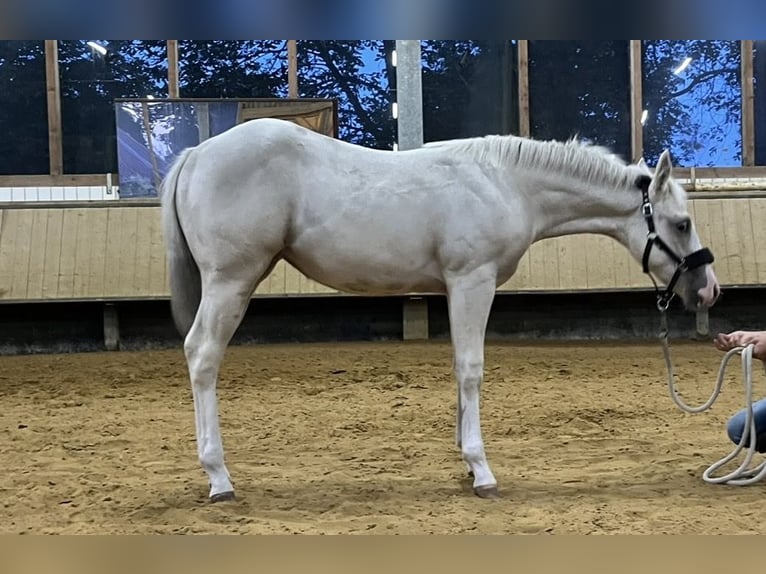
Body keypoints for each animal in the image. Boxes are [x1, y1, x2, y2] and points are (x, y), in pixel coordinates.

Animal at [160, 118, 720, 502]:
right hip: (231, 281)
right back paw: (219, 477)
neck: (506, 182)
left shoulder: (457, 287)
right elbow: (471, 368)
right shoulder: (473, 280)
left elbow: (457, 367)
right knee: (202, 356)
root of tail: (198, 152)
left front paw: (466, 463)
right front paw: (482, 469)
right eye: (682, 223)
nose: (708, 291)